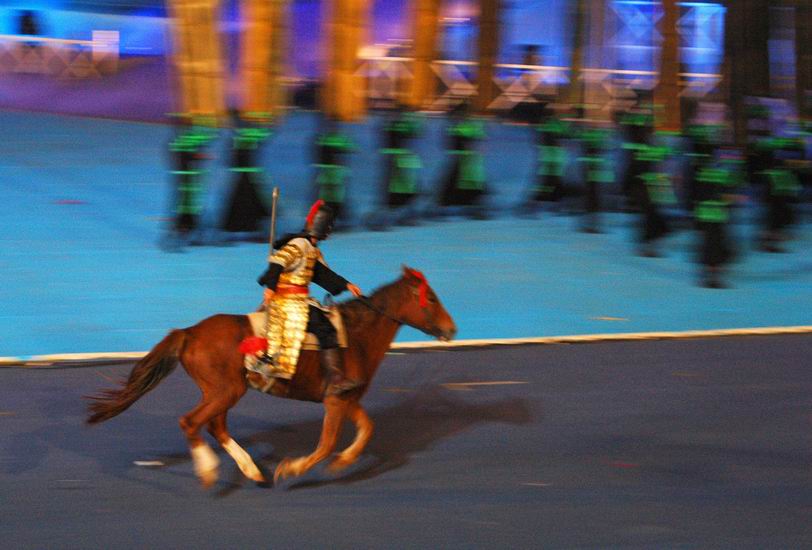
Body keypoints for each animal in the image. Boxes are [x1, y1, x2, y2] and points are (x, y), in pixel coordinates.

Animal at [90, 270, 456, 490]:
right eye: (431, 299)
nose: (451, 329)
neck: (356, 336)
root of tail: (189, 332)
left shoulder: (346, 398)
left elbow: (367, 429)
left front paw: (344, 461)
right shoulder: (336, 399)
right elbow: (326, 444)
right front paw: (292, 469)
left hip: (221, 391)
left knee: (215, 426)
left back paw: (251, 470)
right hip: (226, 390)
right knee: (191, 422)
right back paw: (209, 470)